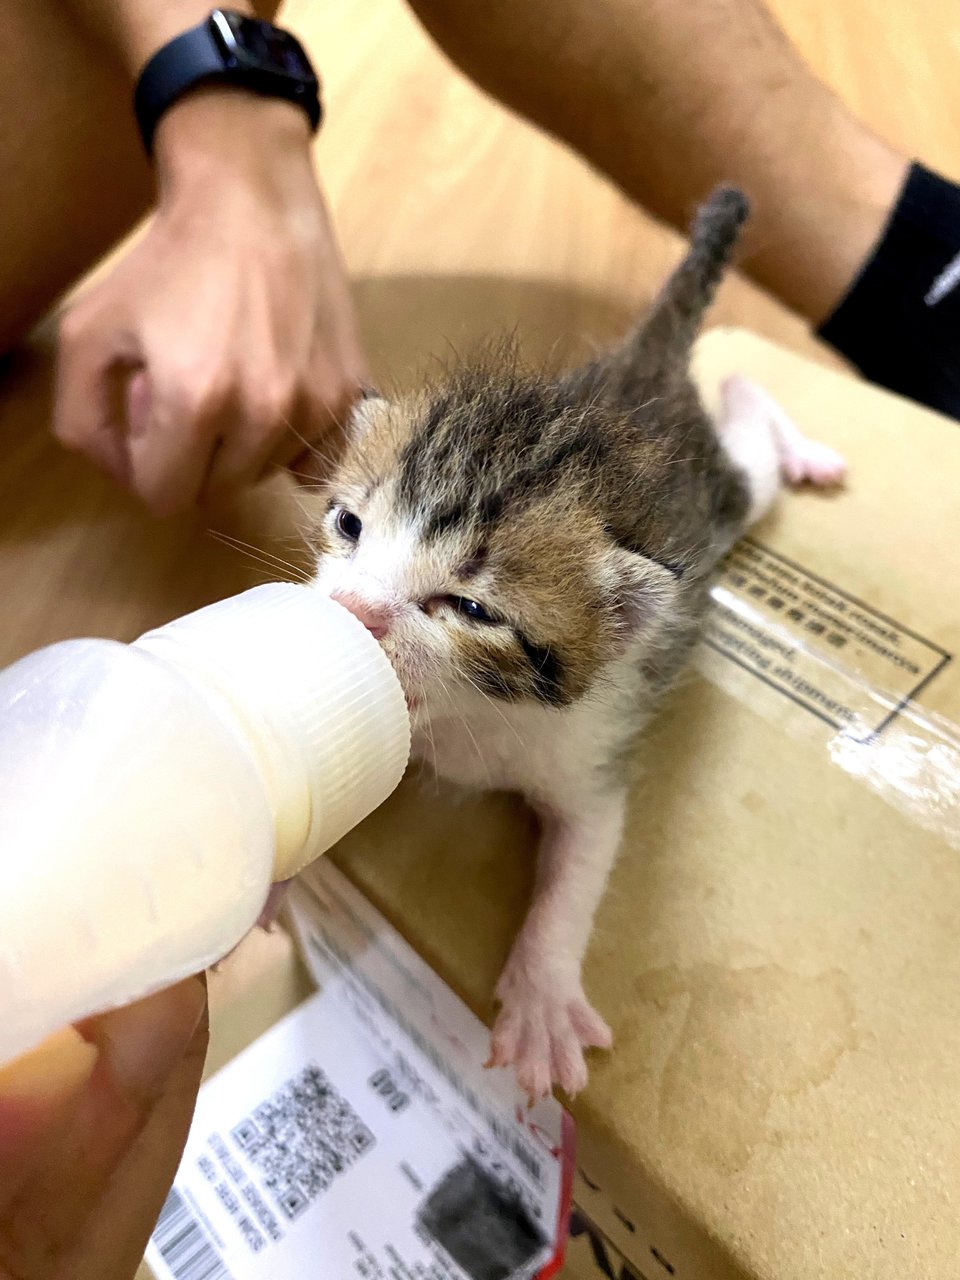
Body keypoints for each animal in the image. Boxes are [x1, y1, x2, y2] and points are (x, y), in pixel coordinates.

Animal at [312, 185, 844, 1095]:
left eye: (472, 610)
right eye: (348, 526)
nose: (349, 608)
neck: (471, 721)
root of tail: (641, 378)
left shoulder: (591, 750)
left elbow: (579, 869)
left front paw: (542, 998)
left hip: (722, 504)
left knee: (755, 459)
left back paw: (780, 426)